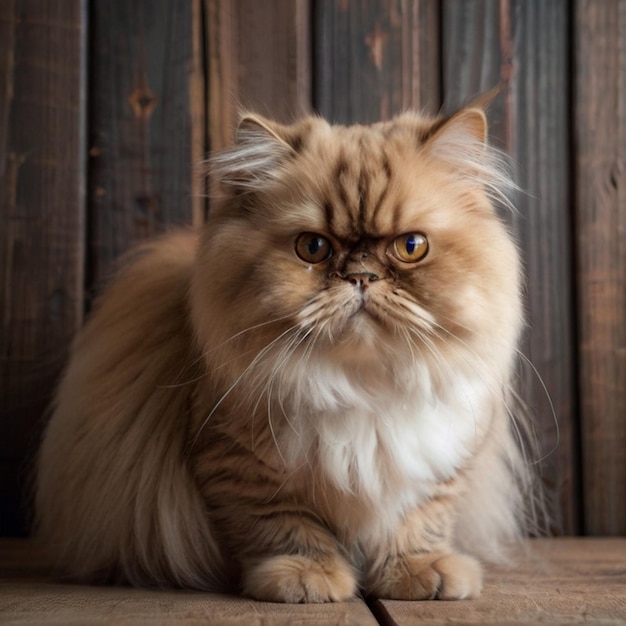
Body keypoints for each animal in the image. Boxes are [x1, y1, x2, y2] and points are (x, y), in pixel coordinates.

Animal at [35, 105, 536, 604]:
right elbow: (284, 527)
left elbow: (419, 521)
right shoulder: (239, 467)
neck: (363, 384)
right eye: (313, 247)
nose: (361, 276)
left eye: (411, 247)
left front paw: (418, 572)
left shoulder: (445, 460)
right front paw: (306, 577)